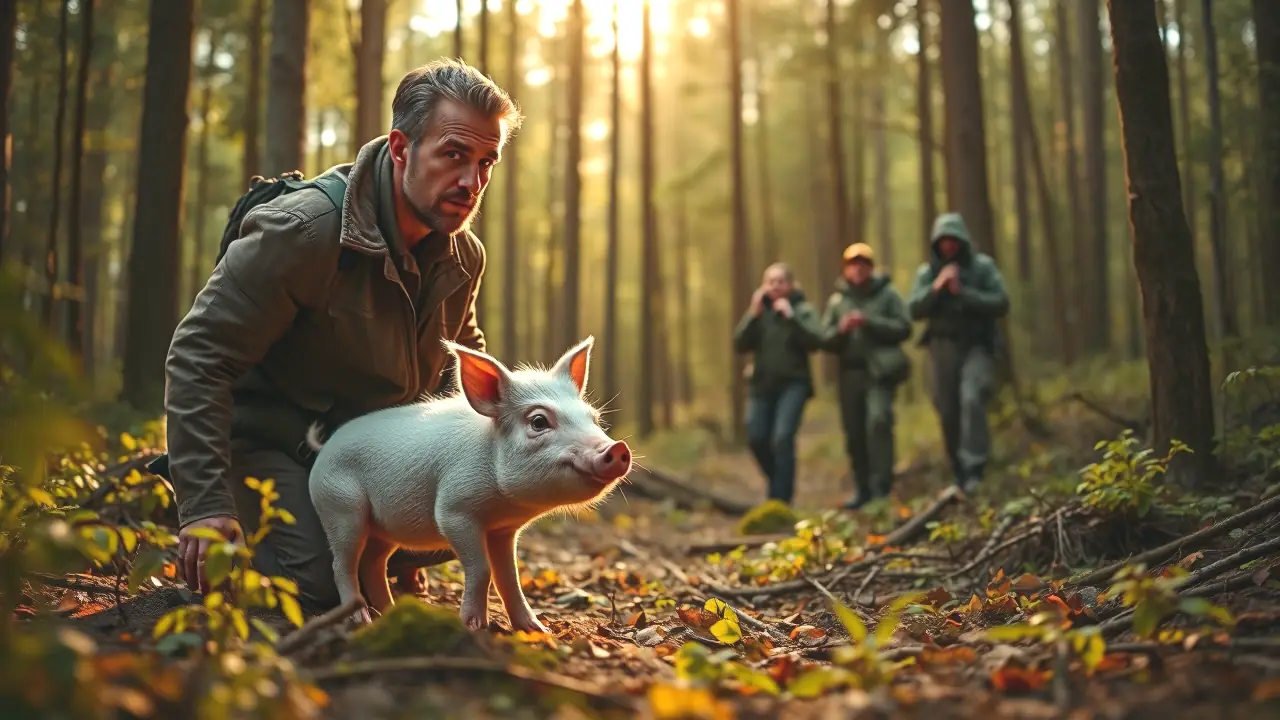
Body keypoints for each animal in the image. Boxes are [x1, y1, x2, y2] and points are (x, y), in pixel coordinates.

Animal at [304, 335, 632, 632]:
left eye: (593, 418)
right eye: (538, 422)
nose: (618, 448)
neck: (503, 505)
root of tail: (325, 447)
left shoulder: (503, 530)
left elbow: (509, 577)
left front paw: (538, 630)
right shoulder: (453, 510)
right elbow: (481, 569)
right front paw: (474, 626)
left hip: (382, 528)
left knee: (373, 564)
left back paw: (391, 612)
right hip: (339, 506)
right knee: (342, 564)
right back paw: (360, 620)